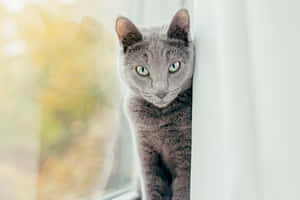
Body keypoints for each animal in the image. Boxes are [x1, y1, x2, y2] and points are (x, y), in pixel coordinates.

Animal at [115, 9, 195, 200]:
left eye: (174, 66)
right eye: (142, 70)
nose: (161, 92)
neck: (160, 121)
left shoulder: (186, 153)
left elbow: (183, 189)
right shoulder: (145, 152)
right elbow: (152, 185)